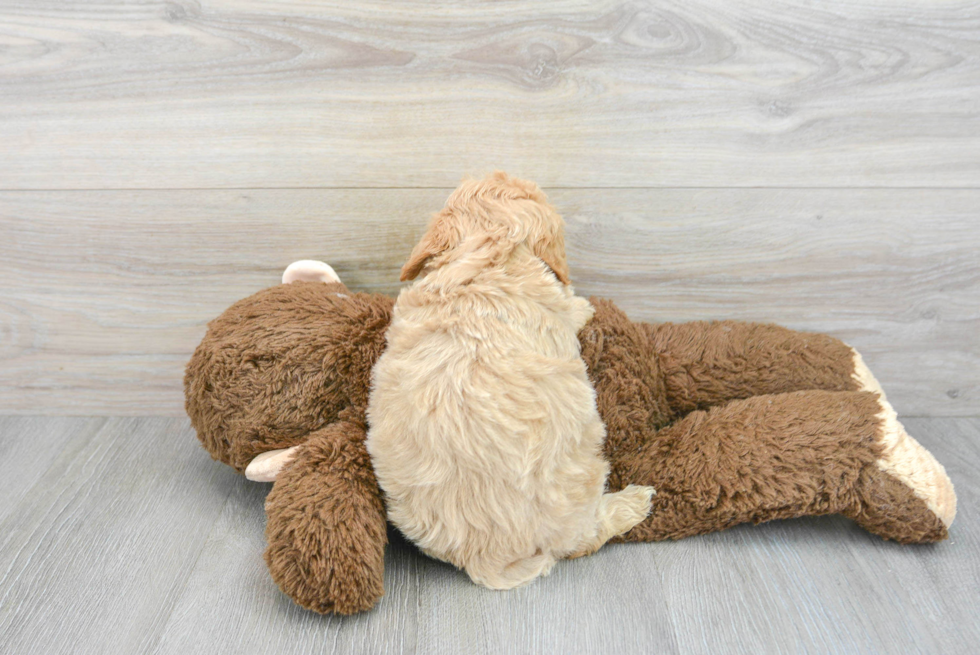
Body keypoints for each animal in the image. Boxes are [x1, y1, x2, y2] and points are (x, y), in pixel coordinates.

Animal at [364, 173, 656, 588]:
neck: (486, 254)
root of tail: (485, 557)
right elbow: (569, 303)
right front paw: (585, 305)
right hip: (583, 483)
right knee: (586, 537)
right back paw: (633, 502)